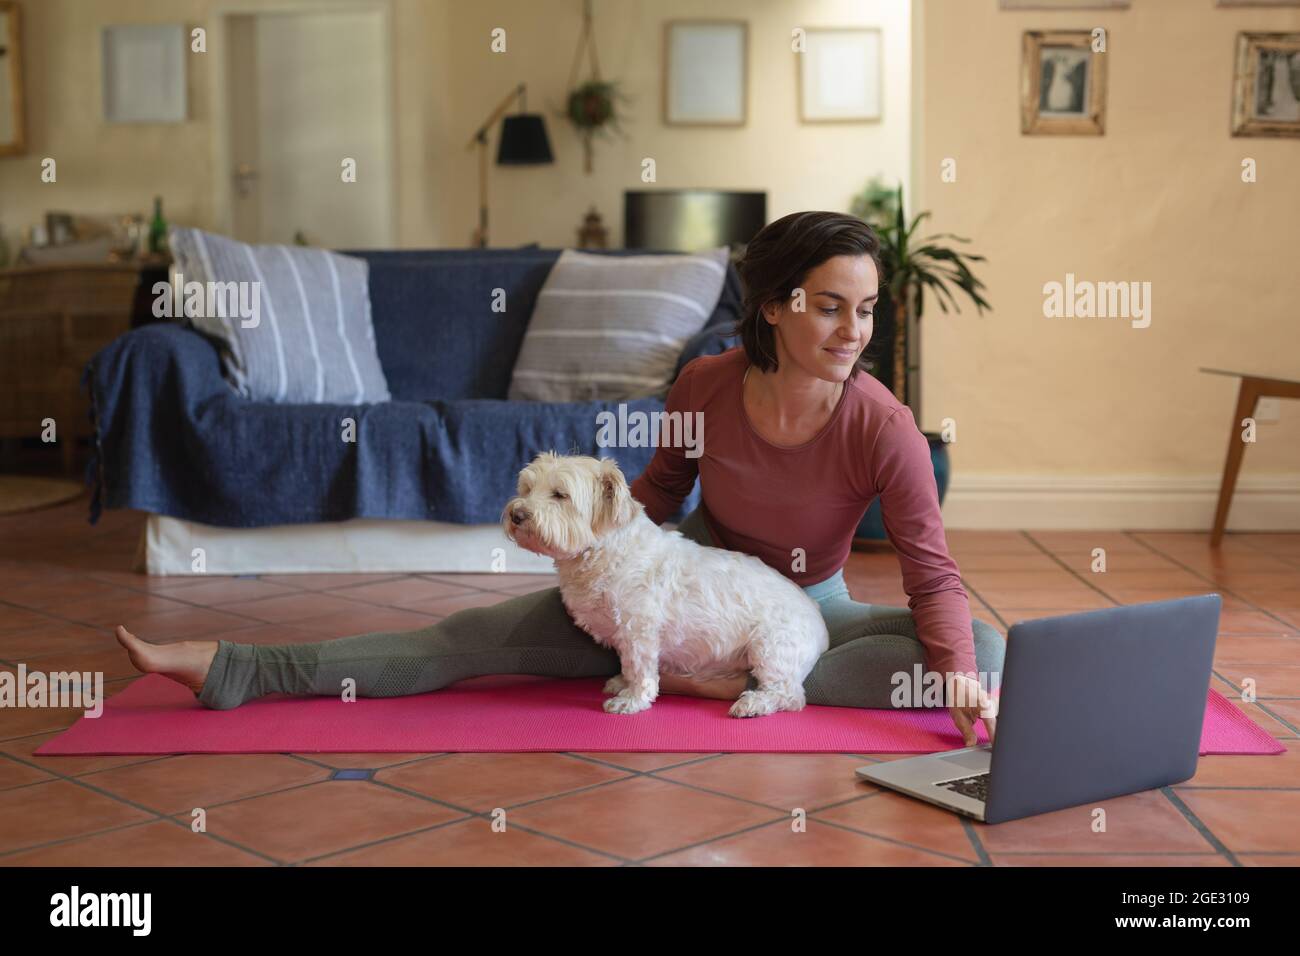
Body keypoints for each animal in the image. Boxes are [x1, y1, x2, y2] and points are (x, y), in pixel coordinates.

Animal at [501, 455, 826, 717]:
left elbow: (639, 667)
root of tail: (819, 622)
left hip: (772, 647)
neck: (608, 551)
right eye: (527, 489)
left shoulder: (639, 629)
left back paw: (753, 703)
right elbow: (626, 665)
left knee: (790, 694)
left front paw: (631, 699)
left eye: (560, 494)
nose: (517, 514)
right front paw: (622, 683)